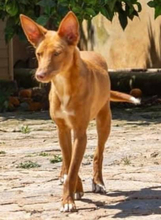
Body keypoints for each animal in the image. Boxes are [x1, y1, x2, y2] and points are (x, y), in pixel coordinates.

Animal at [20, 11, 140, 211]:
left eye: (57, 53)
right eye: (39, 54)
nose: (40, 75)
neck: (63, 86)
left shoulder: (80, 132)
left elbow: (75, 165)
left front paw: (68, 199)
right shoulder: (62, 129)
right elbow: (70, 163)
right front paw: (74, 188)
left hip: (104, 121)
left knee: (99, 153)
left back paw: (98, 182)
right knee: (66, 157)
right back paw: (63, 174)